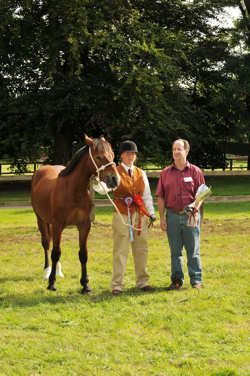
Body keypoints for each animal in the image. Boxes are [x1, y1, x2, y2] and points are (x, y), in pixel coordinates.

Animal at [30, 135, 120, 294]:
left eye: (112, 155)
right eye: (98, 157)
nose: (114, 179)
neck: (73, 191)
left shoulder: (84, 226)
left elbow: (83, 254)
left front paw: (85, 285)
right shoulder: (58, 225)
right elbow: (55, 253)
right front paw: (51, 283)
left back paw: (57, 271)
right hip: (41, 219)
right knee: (46, 244)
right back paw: (47, 271)